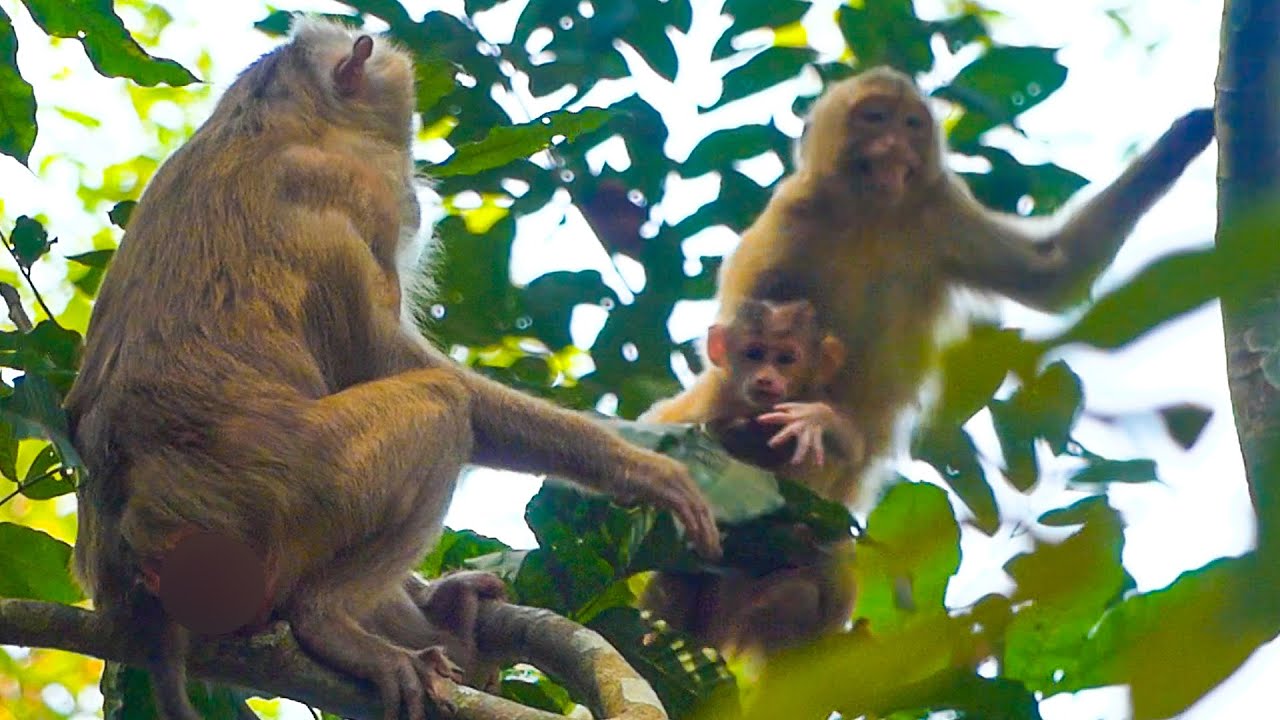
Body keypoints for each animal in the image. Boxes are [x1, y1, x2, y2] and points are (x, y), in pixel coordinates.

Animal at [65, 19, 721, 720]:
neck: (271, 118)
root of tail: (140, 548)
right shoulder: (367, 192)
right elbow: (397, 363)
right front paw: (638, 467)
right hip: (281, 501)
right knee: (441, 407)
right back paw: (328, 622)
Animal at [643, 65, 1215, 508]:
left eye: (911, 125)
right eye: (875, 118)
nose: (895, 145)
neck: (871, 213)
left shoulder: (942, 212)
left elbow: (1055, 274)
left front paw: (1186, 138)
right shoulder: (789, 218)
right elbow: (733, 340)